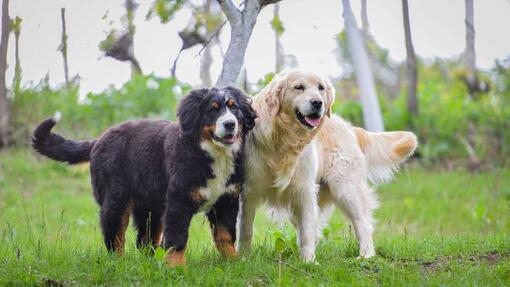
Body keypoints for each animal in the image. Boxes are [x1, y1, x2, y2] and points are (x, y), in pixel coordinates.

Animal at [30, 86, 256, 268]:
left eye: (234, 108)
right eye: (213, 109)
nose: (230, 124)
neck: (213, 154)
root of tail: (98, 140)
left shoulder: (227, 200)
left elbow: (226, 235)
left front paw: (233, 261)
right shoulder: (179, 202)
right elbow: (177, 238)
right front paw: (176, 268)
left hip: (150, 206)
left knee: (145, 240)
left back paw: (150, 263)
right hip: (116, 199)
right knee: (115, 236)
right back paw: (119, 264)